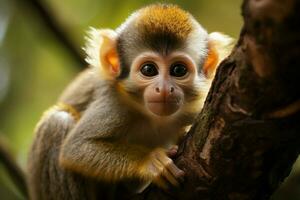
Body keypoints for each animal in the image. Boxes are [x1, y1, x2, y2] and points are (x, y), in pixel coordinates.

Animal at [28, 3, 233, 200]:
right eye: (149, 69)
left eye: (178, 70)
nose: (164, 89)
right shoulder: (114, 104)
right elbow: (75, 148)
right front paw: (149, 161)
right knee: (57, 121)